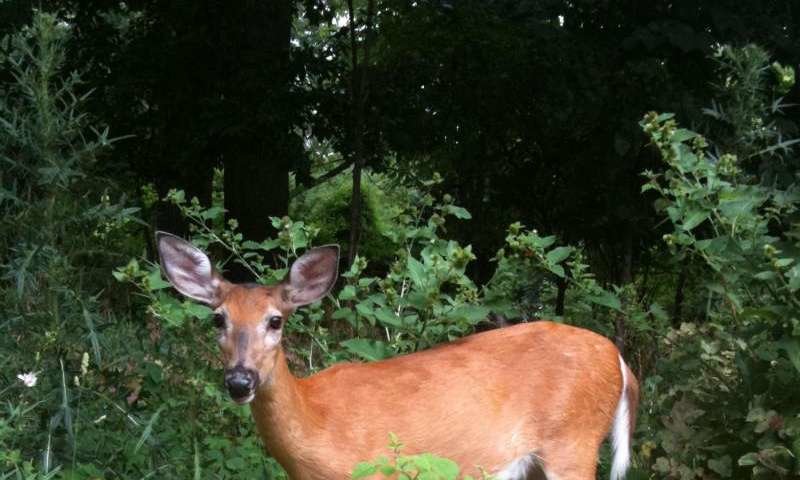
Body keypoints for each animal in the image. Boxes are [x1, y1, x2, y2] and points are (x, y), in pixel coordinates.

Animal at [156, 232, 639, 480]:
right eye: (217, 319)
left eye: (275, 321)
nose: (240, 380)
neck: (315, 422)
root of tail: (617, 358)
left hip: (572, 442)